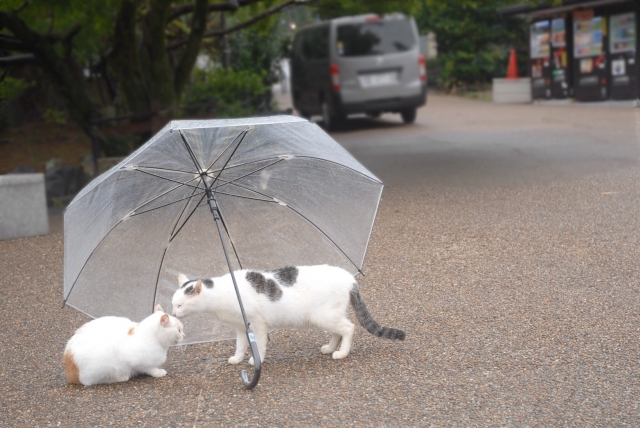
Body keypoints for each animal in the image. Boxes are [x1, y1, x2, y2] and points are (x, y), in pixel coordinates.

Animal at [171, 264, 404, 364]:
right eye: (173, 305)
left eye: (180, 305)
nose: (173, 313)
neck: (223, 292)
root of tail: (349, 277)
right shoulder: (241, 326)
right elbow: (240, 345)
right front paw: (237, 358)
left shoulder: (258, 324)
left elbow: (259, 345)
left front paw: (256, 360)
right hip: (327, 317)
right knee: (338, 331)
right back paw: (330, 348)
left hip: (323, 316)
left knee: (349, 328)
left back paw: (342, 353)